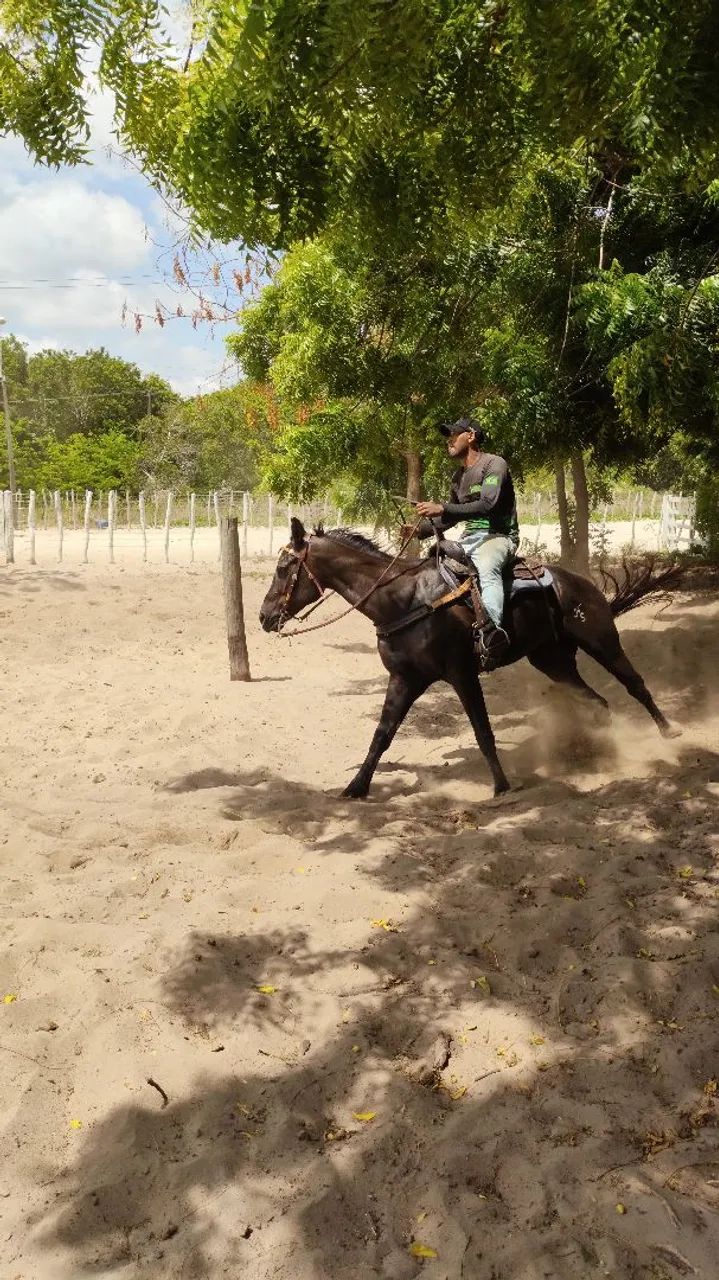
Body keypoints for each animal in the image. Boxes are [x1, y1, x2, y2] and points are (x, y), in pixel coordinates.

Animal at [259, 518, 680, 799]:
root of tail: (581, 583)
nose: (264, 617)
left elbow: (482, 731)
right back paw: (598, 750)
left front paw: (502, 786)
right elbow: (382, 735)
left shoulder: (462, 674)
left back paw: (668, 732)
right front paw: (356, 787)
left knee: (635, 685)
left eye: (283, 568)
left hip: (601, 640)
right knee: (598, 701)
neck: (403, 599)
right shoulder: (405, 678)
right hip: (552, 661)